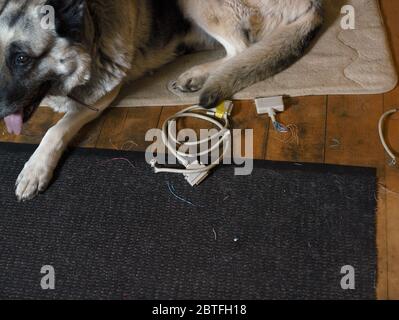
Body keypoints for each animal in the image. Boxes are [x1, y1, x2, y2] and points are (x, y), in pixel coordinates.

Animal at [0, 0, 324, 200]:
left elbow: (56, 129)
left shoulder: (103, 93)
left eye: (22, 58)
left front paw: (35, 168)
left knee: (240, 49)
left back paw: (197, 74)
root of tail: (315, 4)